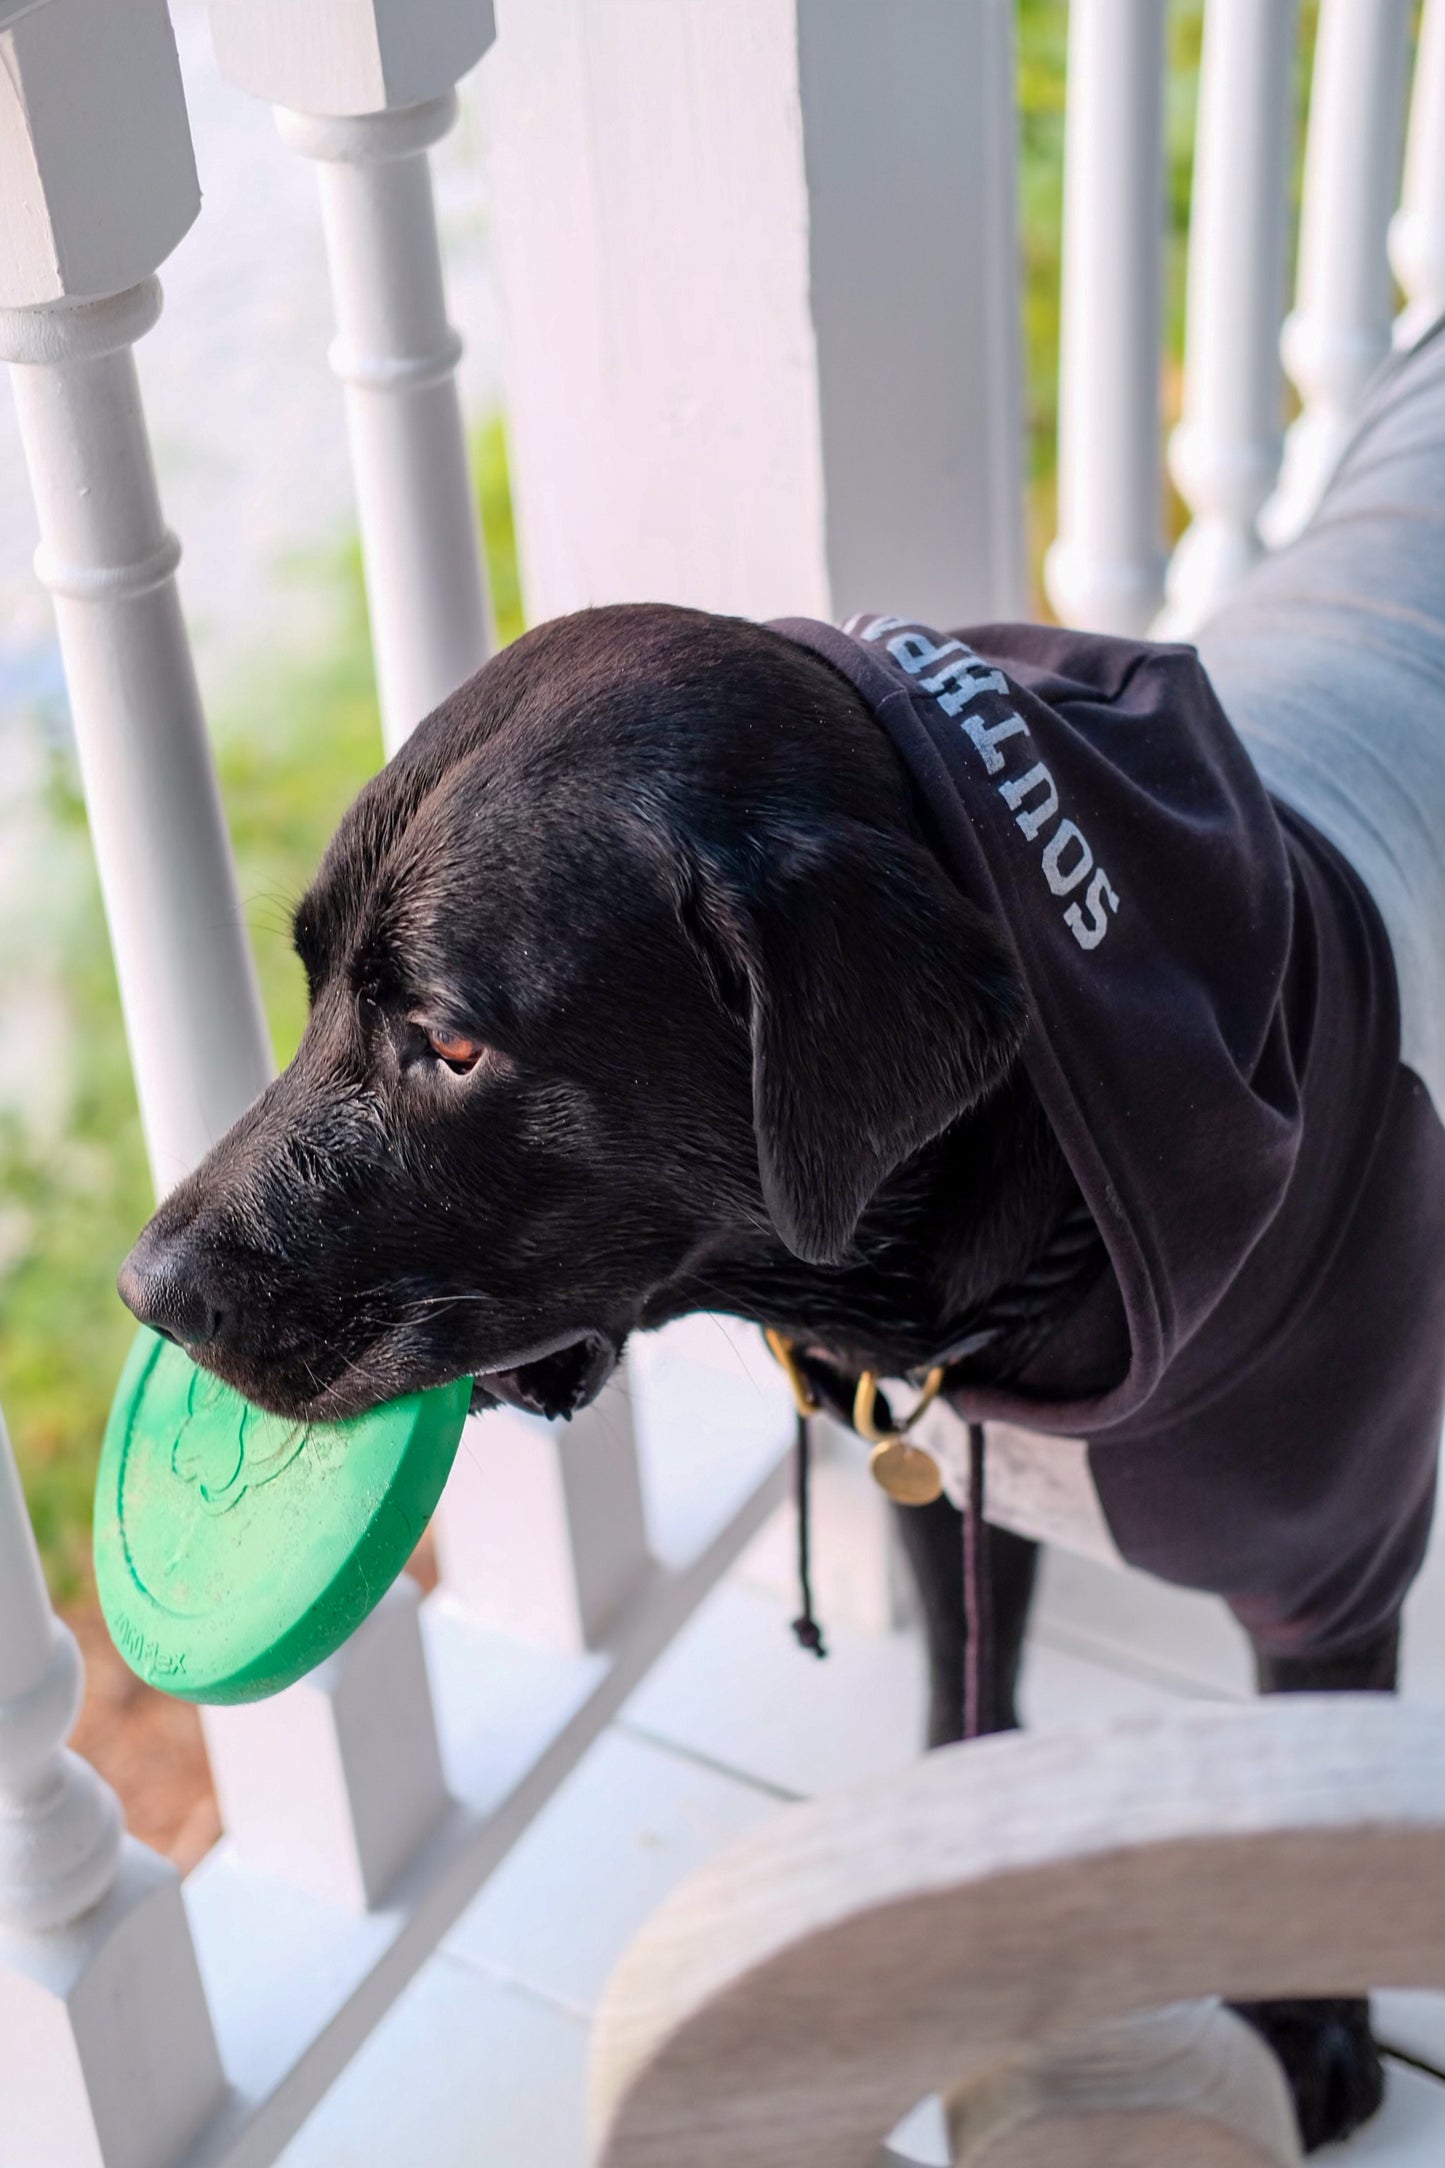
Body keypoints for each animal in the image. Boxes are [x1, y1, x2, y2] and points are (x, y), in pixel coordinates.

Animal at [121, 598, 1412, 2150]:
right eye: (309, 985)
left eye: (450, 1042)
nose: (147, 1292)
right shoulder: (945, 1488)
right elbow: (967, 1684)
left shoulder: (1333, 1554)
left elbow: (1322, 1766)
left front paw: (1307, 2019)